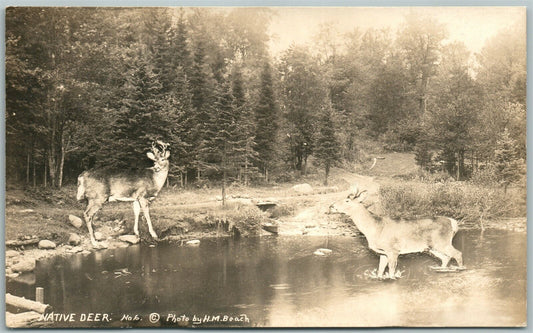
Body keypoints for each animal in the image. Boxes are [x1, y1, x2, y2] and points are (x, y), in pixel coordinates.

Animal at [328, 185, 462, 278]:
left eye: (347, 201)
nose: (331, 206)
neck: (375, 228)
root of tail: (453, 222)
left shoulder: (393, 249)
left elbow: (391, 271)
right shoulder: (382, 252)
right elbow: (380, 270)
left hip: (442, 242)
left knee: (457, 253)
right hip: (430, 247)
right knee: (446, 257)